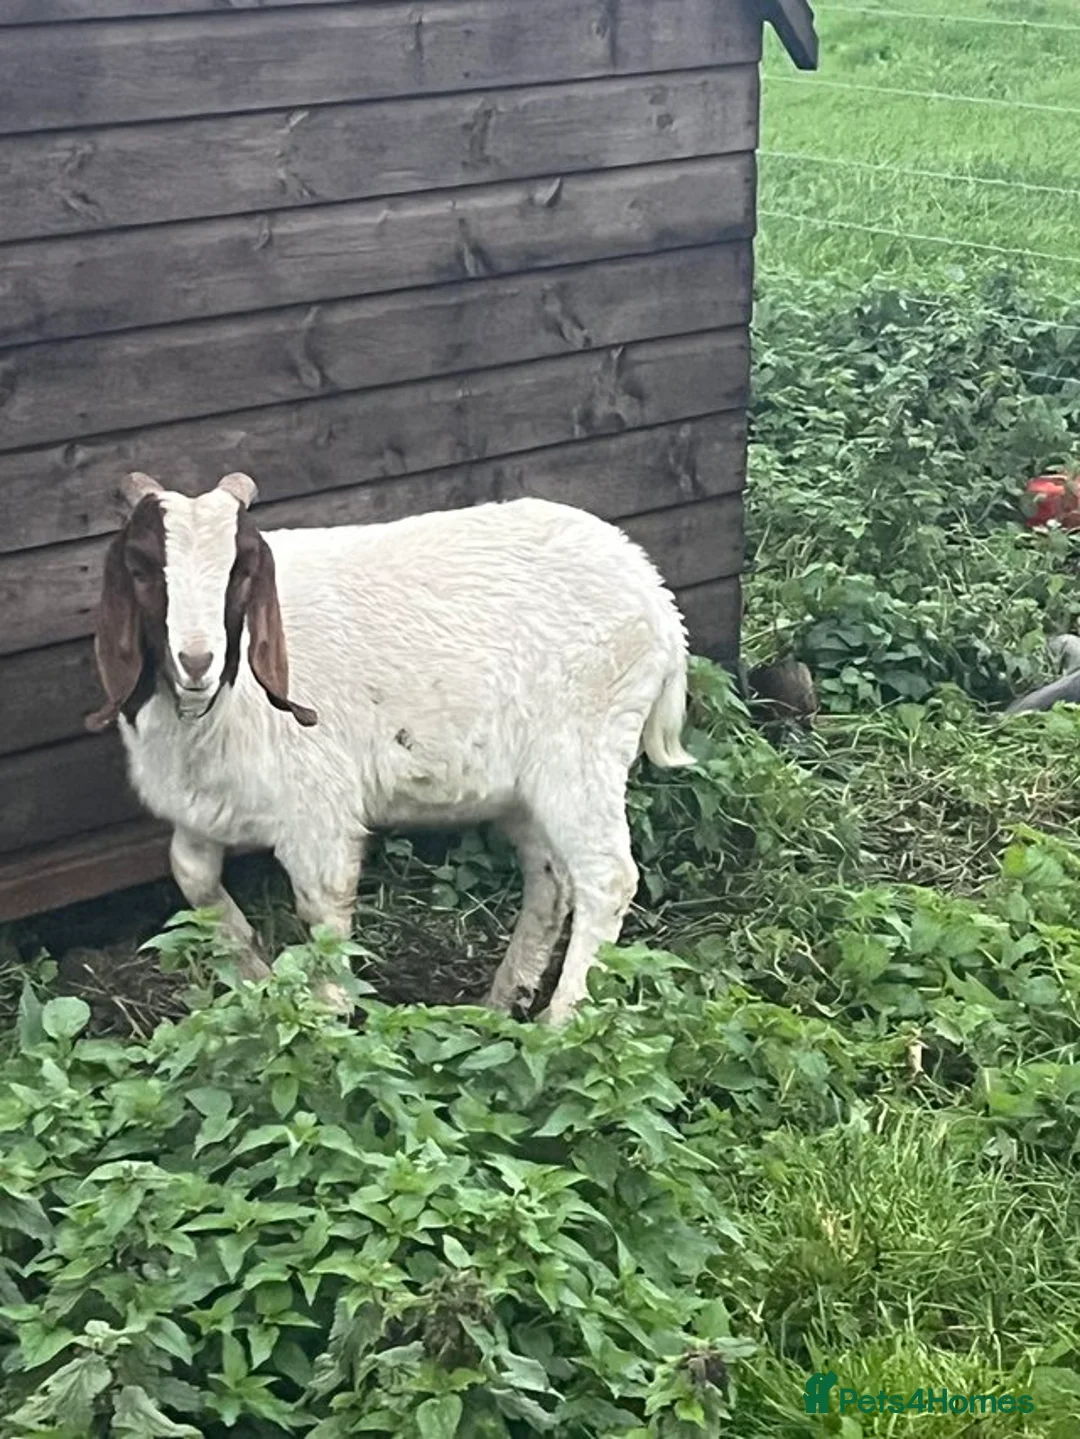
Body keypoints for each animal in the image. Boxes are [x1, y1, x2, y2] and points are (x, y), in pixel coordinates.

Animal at [86, 472, 695, 1022]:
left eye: (241, 572)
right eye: (141, 570)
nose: (196, 661)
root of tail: (657, 596)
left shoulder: (317, 807)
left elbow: (322, 905)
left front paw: (326, 1021)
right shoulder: (199, 806)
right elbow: (192, 877)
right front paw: (257, 977)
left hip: (585, 746)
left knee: (607, 876)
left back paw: (563, 1021)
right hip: (526, 784)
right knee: (552, 878)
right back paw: (504, 1000)